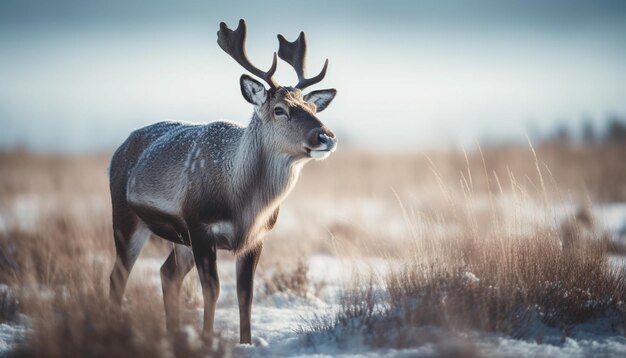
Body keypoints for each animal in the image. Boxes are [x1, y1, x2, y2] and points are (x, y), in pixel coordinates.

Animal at [107, 19, 336, 344]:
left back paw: (173, 332)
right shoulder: (200, 225)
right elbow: (212, 289)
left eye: (313, 108)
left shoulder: (256, 238)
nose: (326, 136)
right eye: (279, 109)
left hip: (179, 240)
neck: (242, 204)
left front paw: (246, 342)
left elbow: (245, 294)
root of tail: (119, 149)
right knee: (118, 276)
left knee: (167, 273)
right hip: (126, 218)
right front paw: (206, 338)